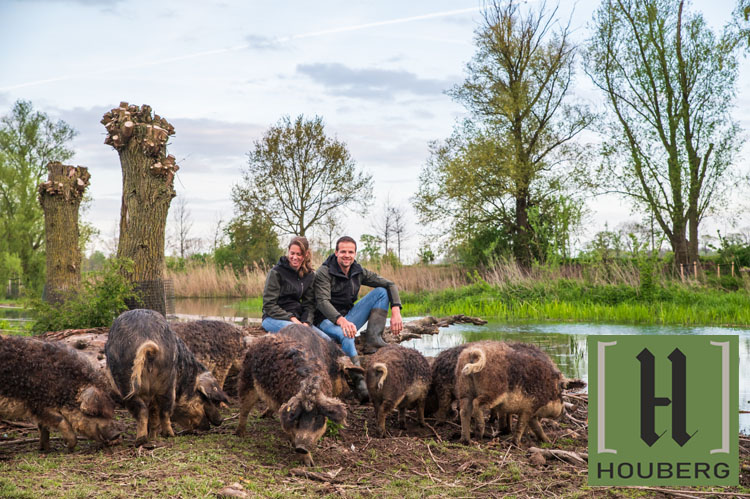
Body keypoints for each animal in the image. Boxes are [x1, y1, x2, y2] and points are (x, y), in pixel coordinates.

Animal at [105, 310, 229, 448]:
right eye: (203, 396)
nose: (221, 420)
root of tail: (147, 340)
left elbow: (153, 413)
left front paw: (152, 435)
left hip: (128, 381)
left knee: (146, 410)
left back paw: (144, 439)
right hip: (164, 381)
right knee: (162, 410)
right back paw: (165, 435)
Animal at [236, 332, 348, 468]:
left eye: (317, 417)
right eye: (298, 416)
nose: (301, 447)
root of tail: (262, 337)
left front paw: (311, 465)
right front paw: (308, 463)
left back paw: (263, 416)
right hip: (247, 379)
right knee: (244, 408)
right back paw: (241, 434)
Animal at [456, 342, 584, 448]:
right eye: (561, 393)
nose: (564, 411)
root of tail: (472, 353)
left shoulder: (532, 412)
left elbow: (537, 427)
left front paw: (547, 441)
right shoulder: (530, 407)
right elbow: (521, 424)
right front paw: (516, 444)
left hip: (464, 390)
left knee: (464, 411)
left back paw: (465, 441)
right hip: (492, 392)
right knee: (477, 403)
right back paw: (479, 434)